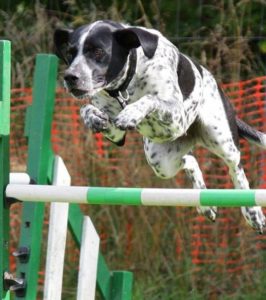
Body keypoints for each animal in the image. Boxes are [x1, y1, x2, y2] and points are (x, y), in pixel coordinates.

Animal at [54, 19, 266, 233]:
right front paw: (93, 117)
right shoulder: (116, 133)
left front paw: (131, 113)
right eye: (70, 53)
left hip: (222, 141)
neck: (127, 84)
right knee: (190, 160)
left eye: (98, 51)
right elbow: (86, 109)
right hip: (160, 161)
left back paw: (253, 214)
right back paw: (206, 206)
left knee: (236, 170)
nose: (70, 77)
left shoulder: (177, 115)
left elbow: (150, 99)